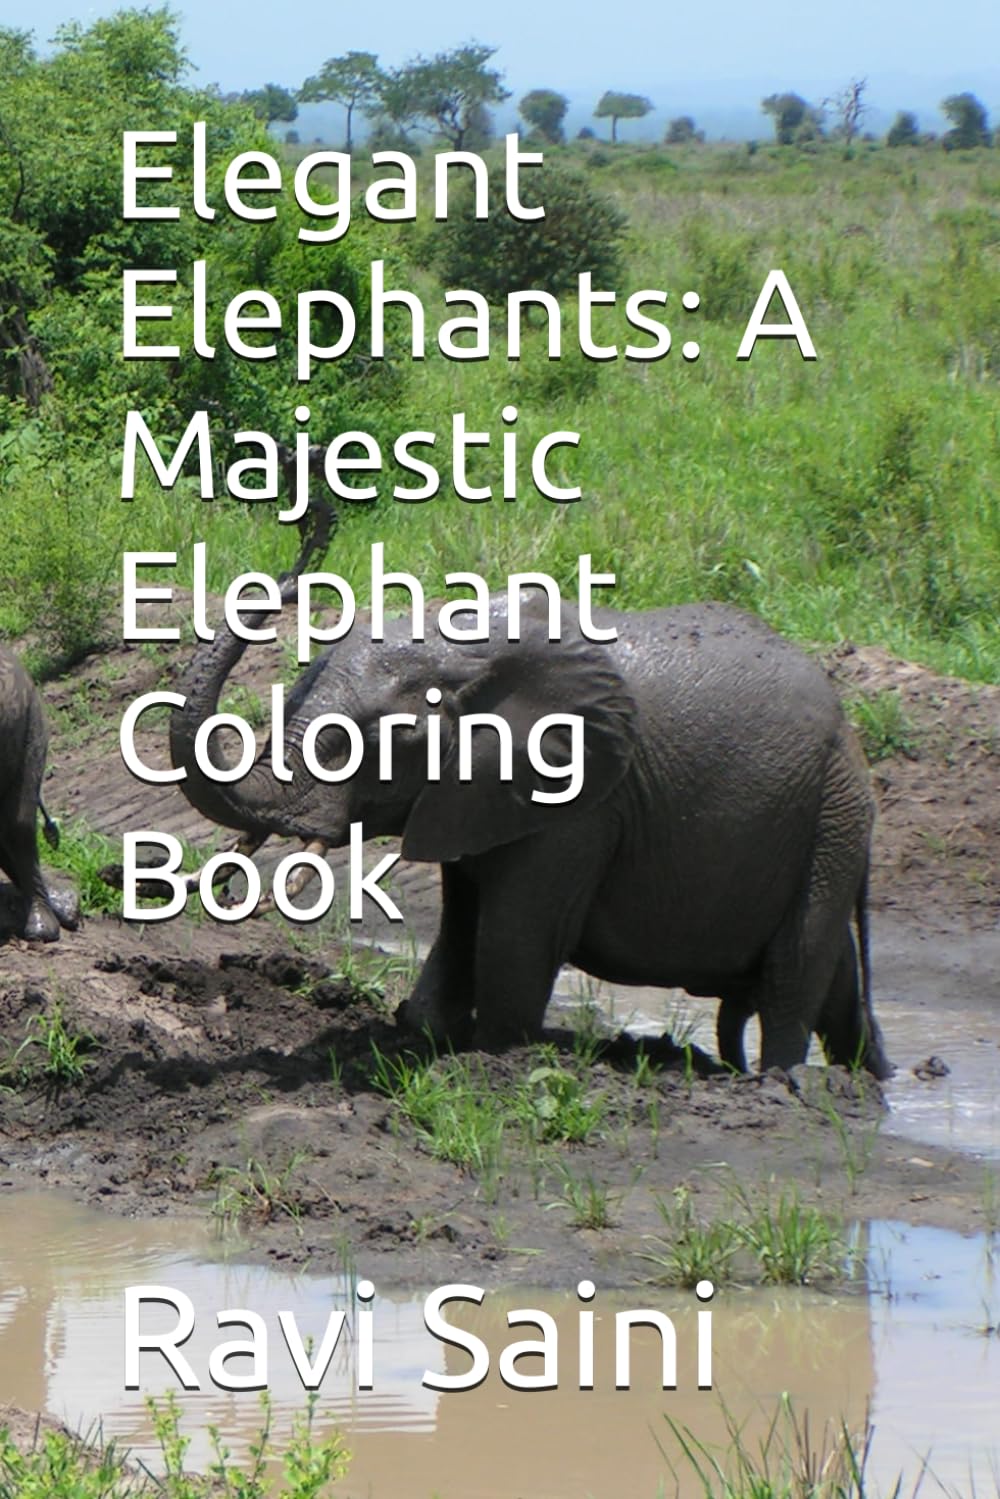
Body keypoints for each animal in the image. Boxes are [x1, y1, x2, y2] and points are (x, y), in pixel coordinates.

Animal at [168, 527, 890, 1080]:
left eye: (385, 738)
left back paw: (784, 1081)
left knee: (797, 969)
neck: (466, 646)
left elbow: (515, 939)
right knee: (836, 983)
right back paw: (866, 1084)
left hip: (833, 812)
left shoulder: (582, 805)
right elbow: (463, 918)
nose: (309, 534)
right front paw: (420, 1030)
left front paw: (488, 1052)